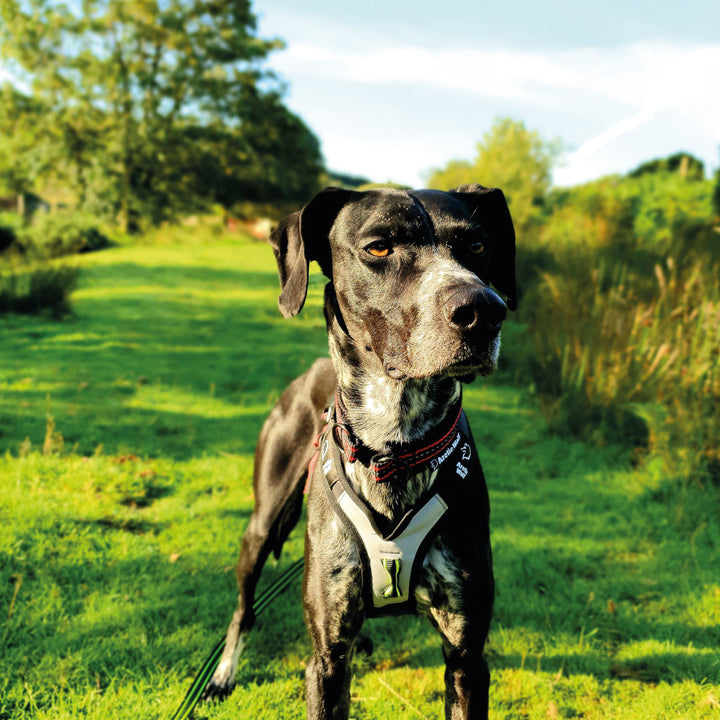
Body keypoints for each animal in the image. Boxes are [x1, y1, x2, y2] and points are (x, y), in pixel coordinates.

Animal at [202, 183, 516, 716]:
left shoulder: (467, 659)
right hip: (260, 527)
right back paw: (224, 671)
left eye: (477, 246)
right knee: (244, 608)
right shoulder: (325, 663)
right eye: (379, 247)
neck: (395, 448)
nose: (484, 311)